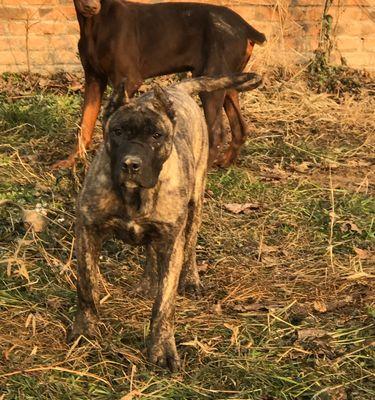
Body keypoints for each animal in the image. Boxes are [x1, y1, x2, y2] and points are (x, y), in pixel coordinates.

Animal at [53, 0, 266, 169]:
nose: (91, 7)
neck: (95, 23)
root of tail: (245, 27)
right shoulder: (94, 79)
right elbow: (84, 125)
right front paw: (72, 161)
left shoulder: (128, 79)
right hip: (227, 81)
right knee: (239, 127)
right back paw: (225, 161)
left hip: (211, 80)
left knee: (217, 133)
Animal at [72, 72, 262, 372]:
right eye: (117, 132)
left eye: (156, 135)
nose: (131, 164)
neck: (135, 196)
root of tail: (178, 89)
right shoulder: (87, 230)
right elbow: (86, 286)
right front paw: (85, 328)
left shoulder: (172, 243)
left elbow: (164, 304)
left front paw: (162, 348)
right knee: (151, 251)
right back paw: (148, 282)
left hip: (195, 203)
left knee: (190, 244)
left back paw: (191, 280)